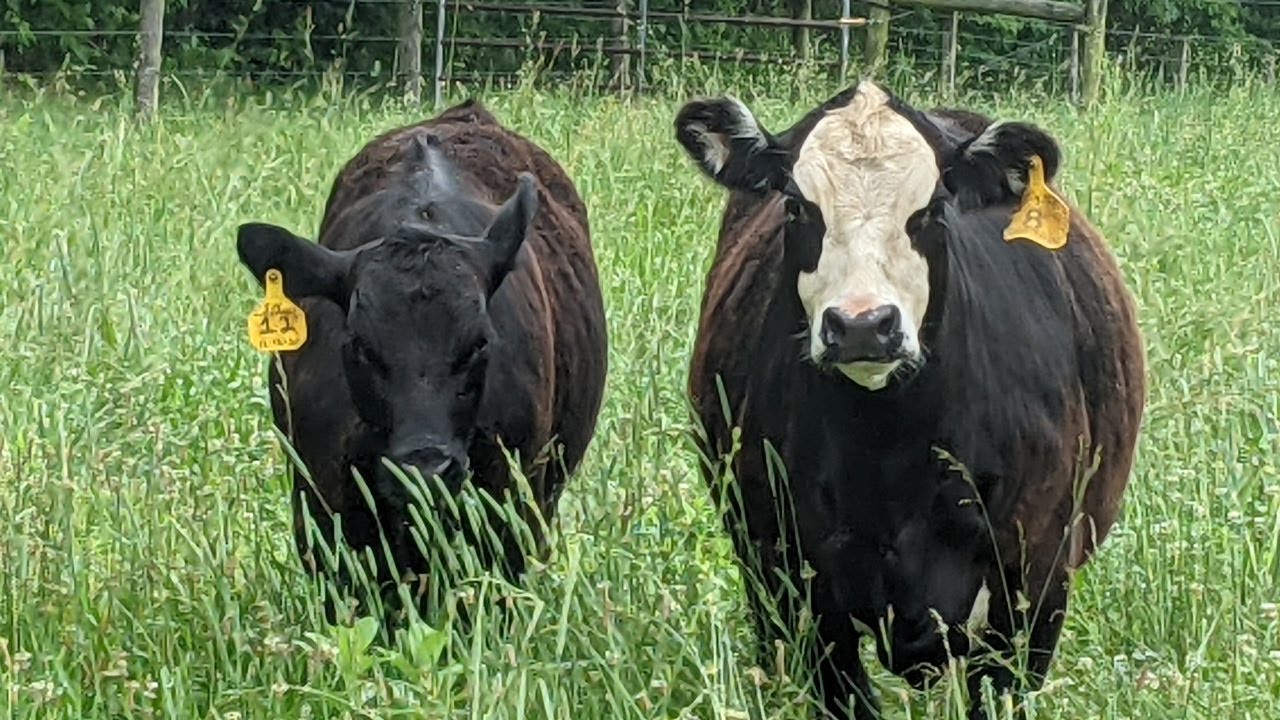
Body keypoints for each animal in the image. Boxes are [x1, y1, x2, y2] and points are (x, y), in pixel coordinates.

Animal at [673, 80, 1146, 719]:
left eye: (932, 209)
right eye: (796, 206)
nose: (862, 325)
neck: (890, 452)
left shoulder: (1036, 584)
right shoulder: (797, 583)